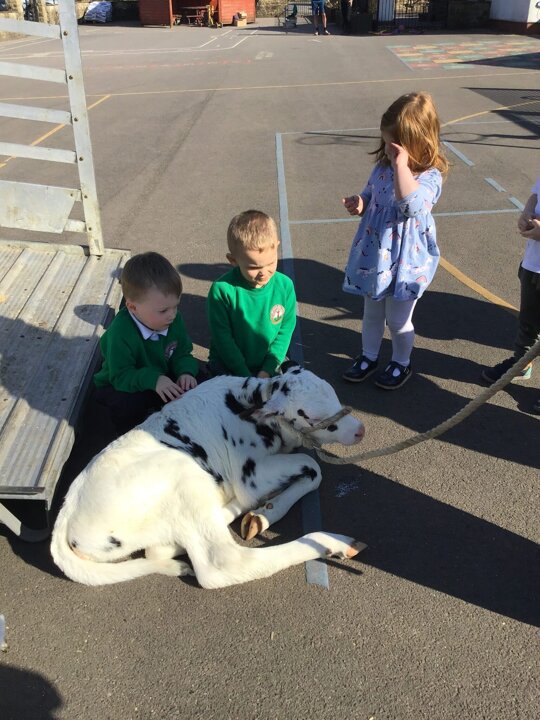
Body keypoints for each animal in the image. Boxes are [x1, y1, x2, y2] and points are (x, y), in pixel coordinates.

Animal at [51, 366, 366, 588]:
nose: (360, 430)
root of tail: (66, 517)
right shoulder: (250, 475)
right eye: (313, 417)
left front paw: (265, 513)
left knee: (159, 551)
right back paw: (336, 542)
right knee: (223, 565)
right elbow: (312, 466)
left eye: (334, 394)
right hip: (183, 472)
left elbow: (313, 472)